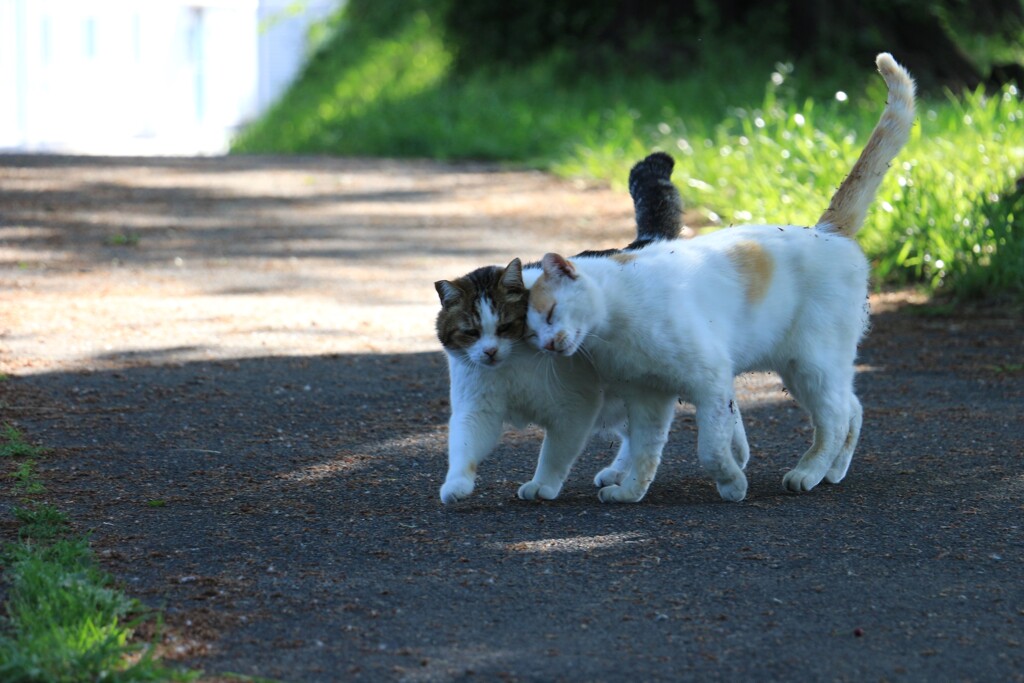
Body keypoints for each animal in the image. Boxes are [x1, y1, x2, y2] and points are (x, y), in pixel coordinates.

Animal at [432, 152, 679, 501]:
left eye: (506, 326)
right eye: (471, 332)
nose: (490, 352)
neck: (511, 368)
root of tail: (645, 243)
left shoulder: (573, 408)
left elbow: (554, 453)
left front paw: (543, 485)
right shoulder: (477, 408)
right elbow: (464, 447)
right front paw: (456, 485)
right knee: (634, 436)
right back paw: (617, 472)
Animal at [524, 53, 917, 501]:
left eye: (550, 313)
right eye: (527, 333)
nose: (550, 345)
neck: (613, 325)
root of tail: (826, 229)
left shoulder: (711, 383)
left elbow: (711, 447)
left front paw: (732, 483)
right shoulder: (648, 397)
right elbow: (645, 451)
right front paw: (630, 492)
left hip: (810, 365)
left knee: (833, 419)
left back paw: (808, 472)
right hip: (810, 368)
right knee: (852, 407)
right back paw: (833, 471)